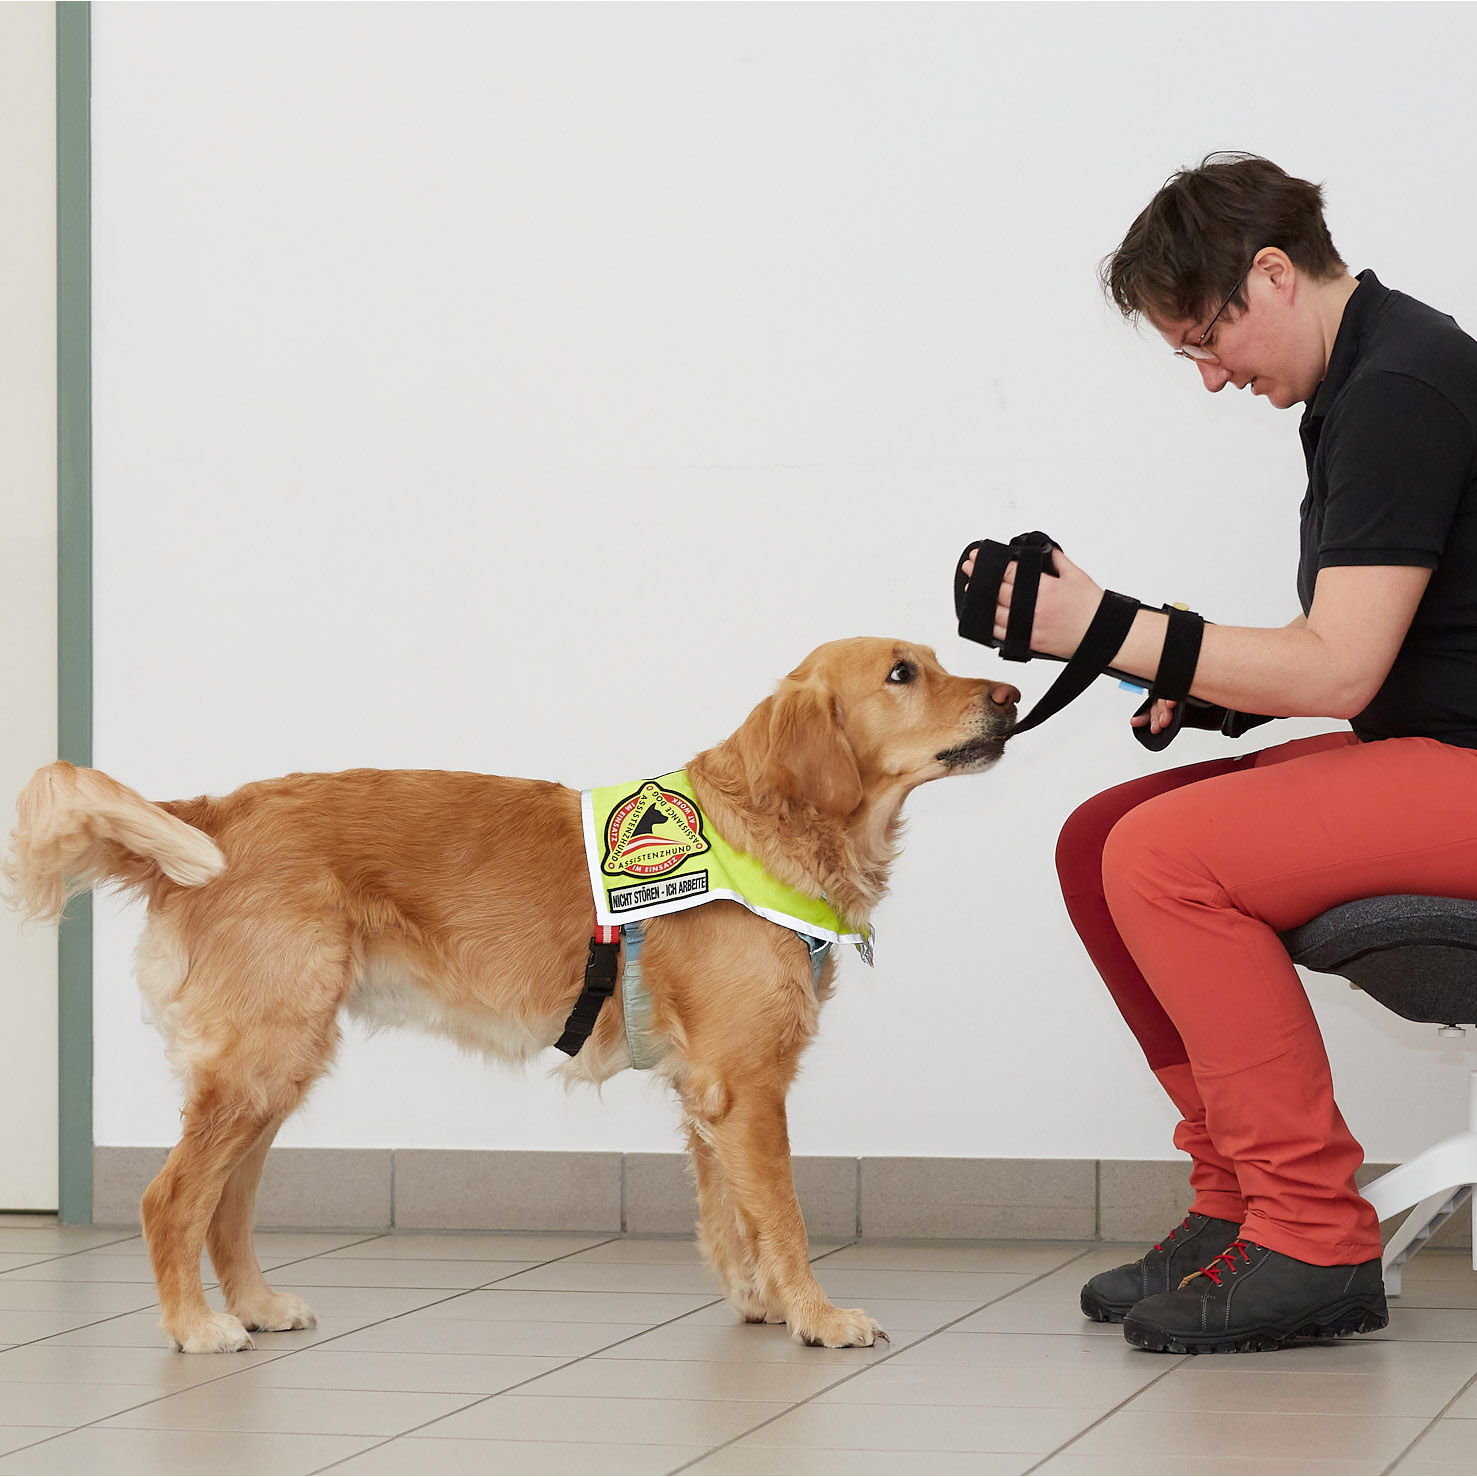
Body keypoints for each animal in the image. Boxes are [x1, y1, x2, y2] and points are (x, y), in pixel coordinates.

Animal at [5, 635, 1016, 1352]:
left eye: (934, 658)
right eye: (902, 672)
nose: (1011, 696)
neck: (764, 828)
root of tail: (210, 813)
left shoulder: (707, 1089)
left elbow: (731, 1215)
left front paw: (760, 1301)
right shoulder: (747, 1083)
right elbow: (785, 1216)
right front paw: (817, 1314)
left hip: (275, 1064)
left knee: (227, 1201)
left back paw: (253, 1303)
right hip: (264, 1058)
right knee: (171, 1198)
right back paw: (194, 1326)